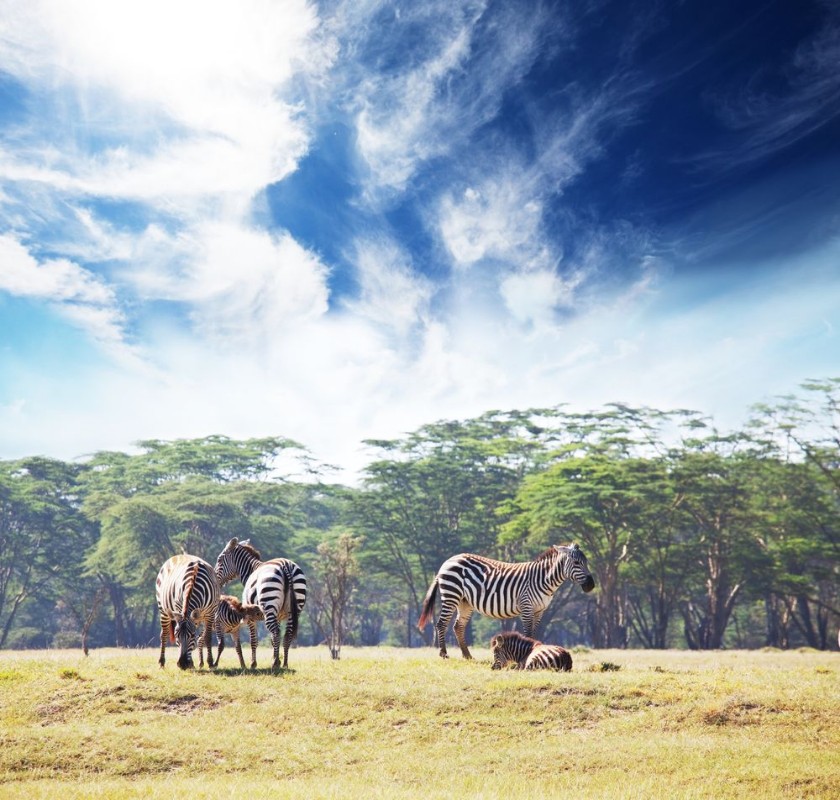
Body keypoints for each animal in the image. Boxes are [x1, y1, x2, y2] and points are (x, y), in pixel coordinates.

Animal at [214, 538, 307, 670]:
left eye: (219, 560)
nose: (215, 581)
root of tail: (286, 565)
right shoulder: (278, 616)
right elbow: (272, 640)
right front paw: (276, 659)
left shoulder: (249, 614)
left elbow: (254, 640)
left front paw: (253, 663)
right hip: (295, 607)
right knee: (286, 634)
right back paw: (284, 664)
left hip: (268, 602)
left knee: (276, 632)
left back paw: (275, 664)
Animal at [417, 543, 595, 659]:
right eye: (577, 563)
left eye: (586, 562)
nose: (591, 585)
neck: (544, 579)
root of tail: (448, 560)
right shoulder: (526, 606)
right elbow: (528, 633)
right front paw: (527, 653)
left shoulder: (540, 610)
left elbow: (535, 633)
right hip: (451, 594)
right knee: (441, 624)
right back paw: (444, 654)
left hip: (464, 601)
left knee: (458, 626)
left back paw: (467, 655)